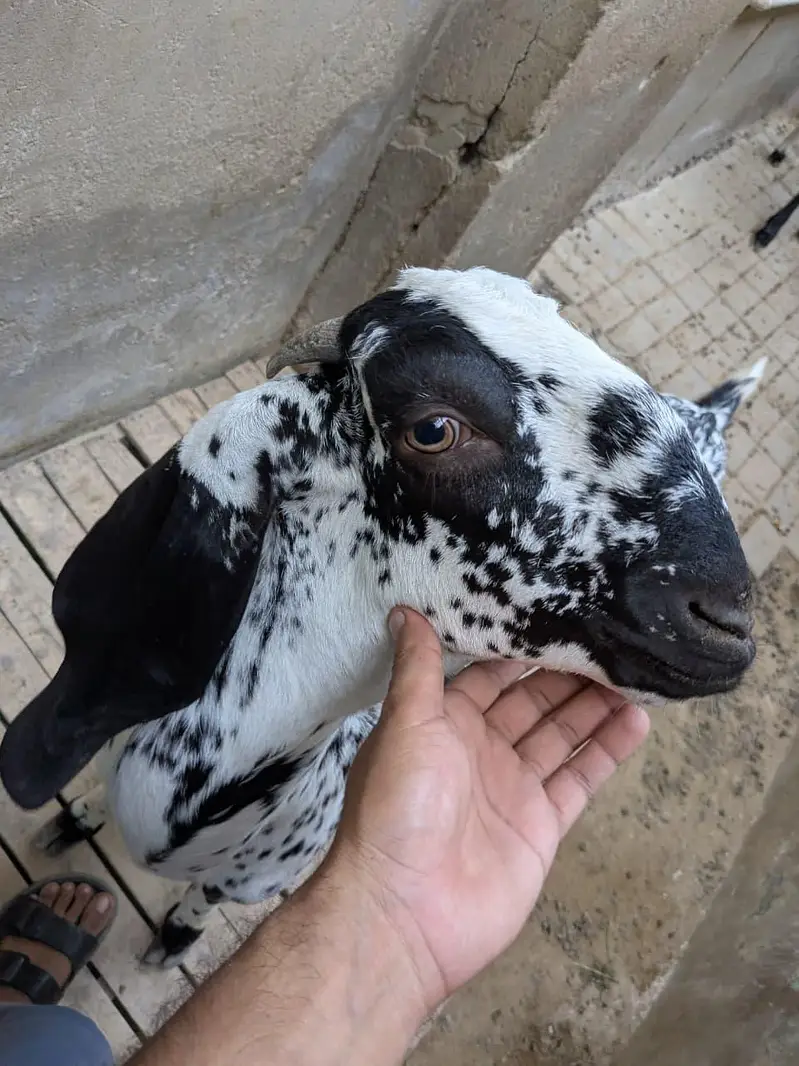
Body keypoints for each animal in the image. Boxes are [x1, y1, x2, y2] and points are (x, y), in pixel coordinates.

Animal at [0, 266, 763, 968]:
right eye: (433, 429)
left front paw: (173, 939)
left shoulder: (246, 883)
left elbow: (197, 908)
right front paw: (75, 819)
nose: (727, 616)